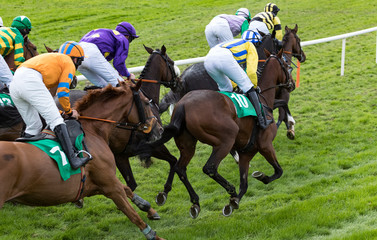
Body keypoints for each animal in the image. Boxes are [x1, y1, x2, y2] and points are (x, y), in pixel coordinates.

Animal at [0, 80, 164, 240]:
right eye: (146, 102)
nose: (160, 129)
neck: (92, 130)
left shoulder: (100, 183)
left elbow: (128, 189)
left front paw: (149, 209)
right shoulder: (110, 185)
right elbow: (132, 214)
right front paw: (154, 235)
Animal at [141, 48, 290, 218]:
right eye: (286, 65)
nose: (291, 83)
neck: (264, 102)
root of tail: (183, 104)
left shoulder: (246, 153)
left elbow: (244, 184)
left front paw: (233, 203)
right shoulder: (265, 145)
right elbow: (278, 171)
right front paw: (260, 178)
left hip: (188, 145)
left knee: (180, 167)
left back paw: (193, 202)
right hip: (226, 139)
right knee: (209, 168)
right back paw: (229, 190)